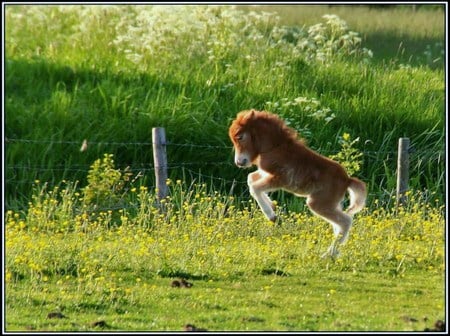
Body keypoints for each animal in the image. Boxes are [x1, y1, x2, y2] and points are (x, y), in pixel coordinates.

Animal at [229, 109, 366, 256]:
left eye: (240, 137)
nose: (239, 162)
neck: (275, 147)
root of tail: (347, 180)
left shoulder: (281, 179)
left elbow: (255, 187)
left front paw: (272, 216)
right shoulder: (265, 173)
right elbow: (251, 179)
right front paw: (272, 206)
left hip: (318, 203)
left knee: (345, 221)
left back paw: (327, 255)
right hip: (332, 204)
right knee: (338, 225)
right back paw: (333, 254)